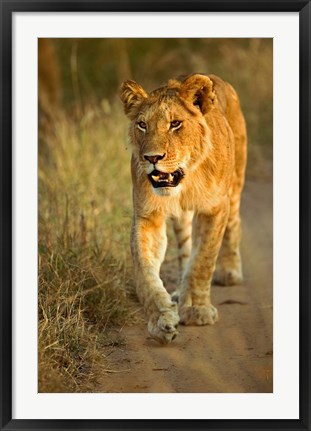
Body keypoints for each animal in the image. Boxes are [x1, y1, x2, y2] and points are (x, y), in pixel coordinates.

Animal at [120, 74, 247, 344]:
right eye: (142, 125)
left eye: (175, 124)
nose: (151, 158)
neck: (185, 180)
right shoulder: (148, 216)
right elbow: (145, 273)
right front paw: (162, 319)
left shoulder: (214, 209)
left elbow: (203, 261)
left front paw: (197, 310)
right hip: (182, 219)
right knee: (186, 250)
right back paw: (179, 291)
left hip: (235, 185)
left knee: (234, 223)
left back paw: (230, 271)